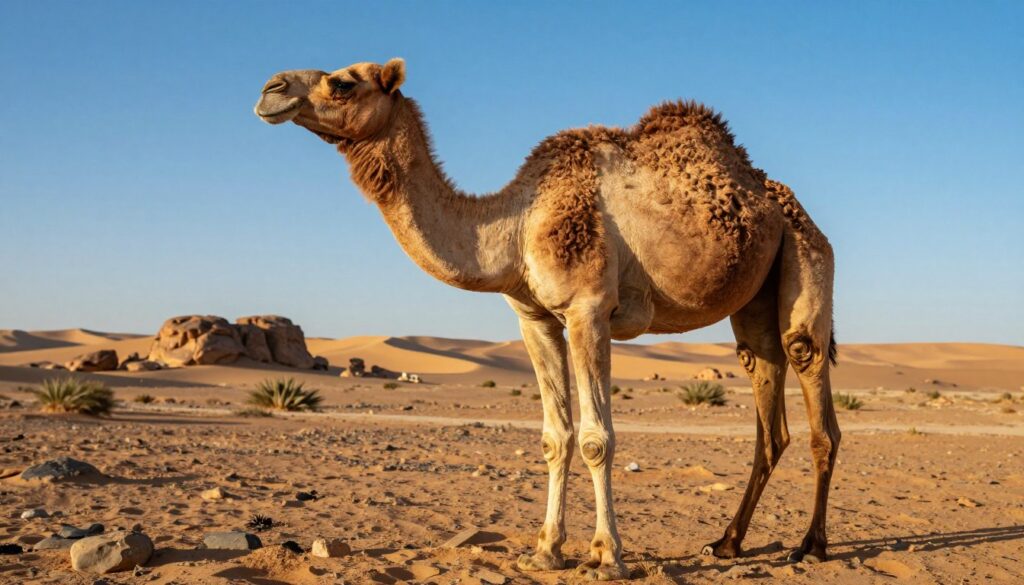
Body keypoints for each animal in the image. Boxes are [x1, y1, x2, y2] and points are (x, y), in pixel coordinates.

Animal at [254, 59, 841, 580]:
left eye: (343, 81)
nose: (270, 89)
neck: (515, 225)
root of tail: (783, 200)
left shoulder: (588, 310)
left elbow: (596, 438)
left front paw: (607, 557)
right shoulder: (533, 317)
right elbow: (555, 437)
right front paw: (544, 552)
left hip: (806, 255)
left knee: (810, 382)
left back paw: (811, 546)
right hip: (754, 298)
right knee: (766, 401)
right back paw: (727, 543)